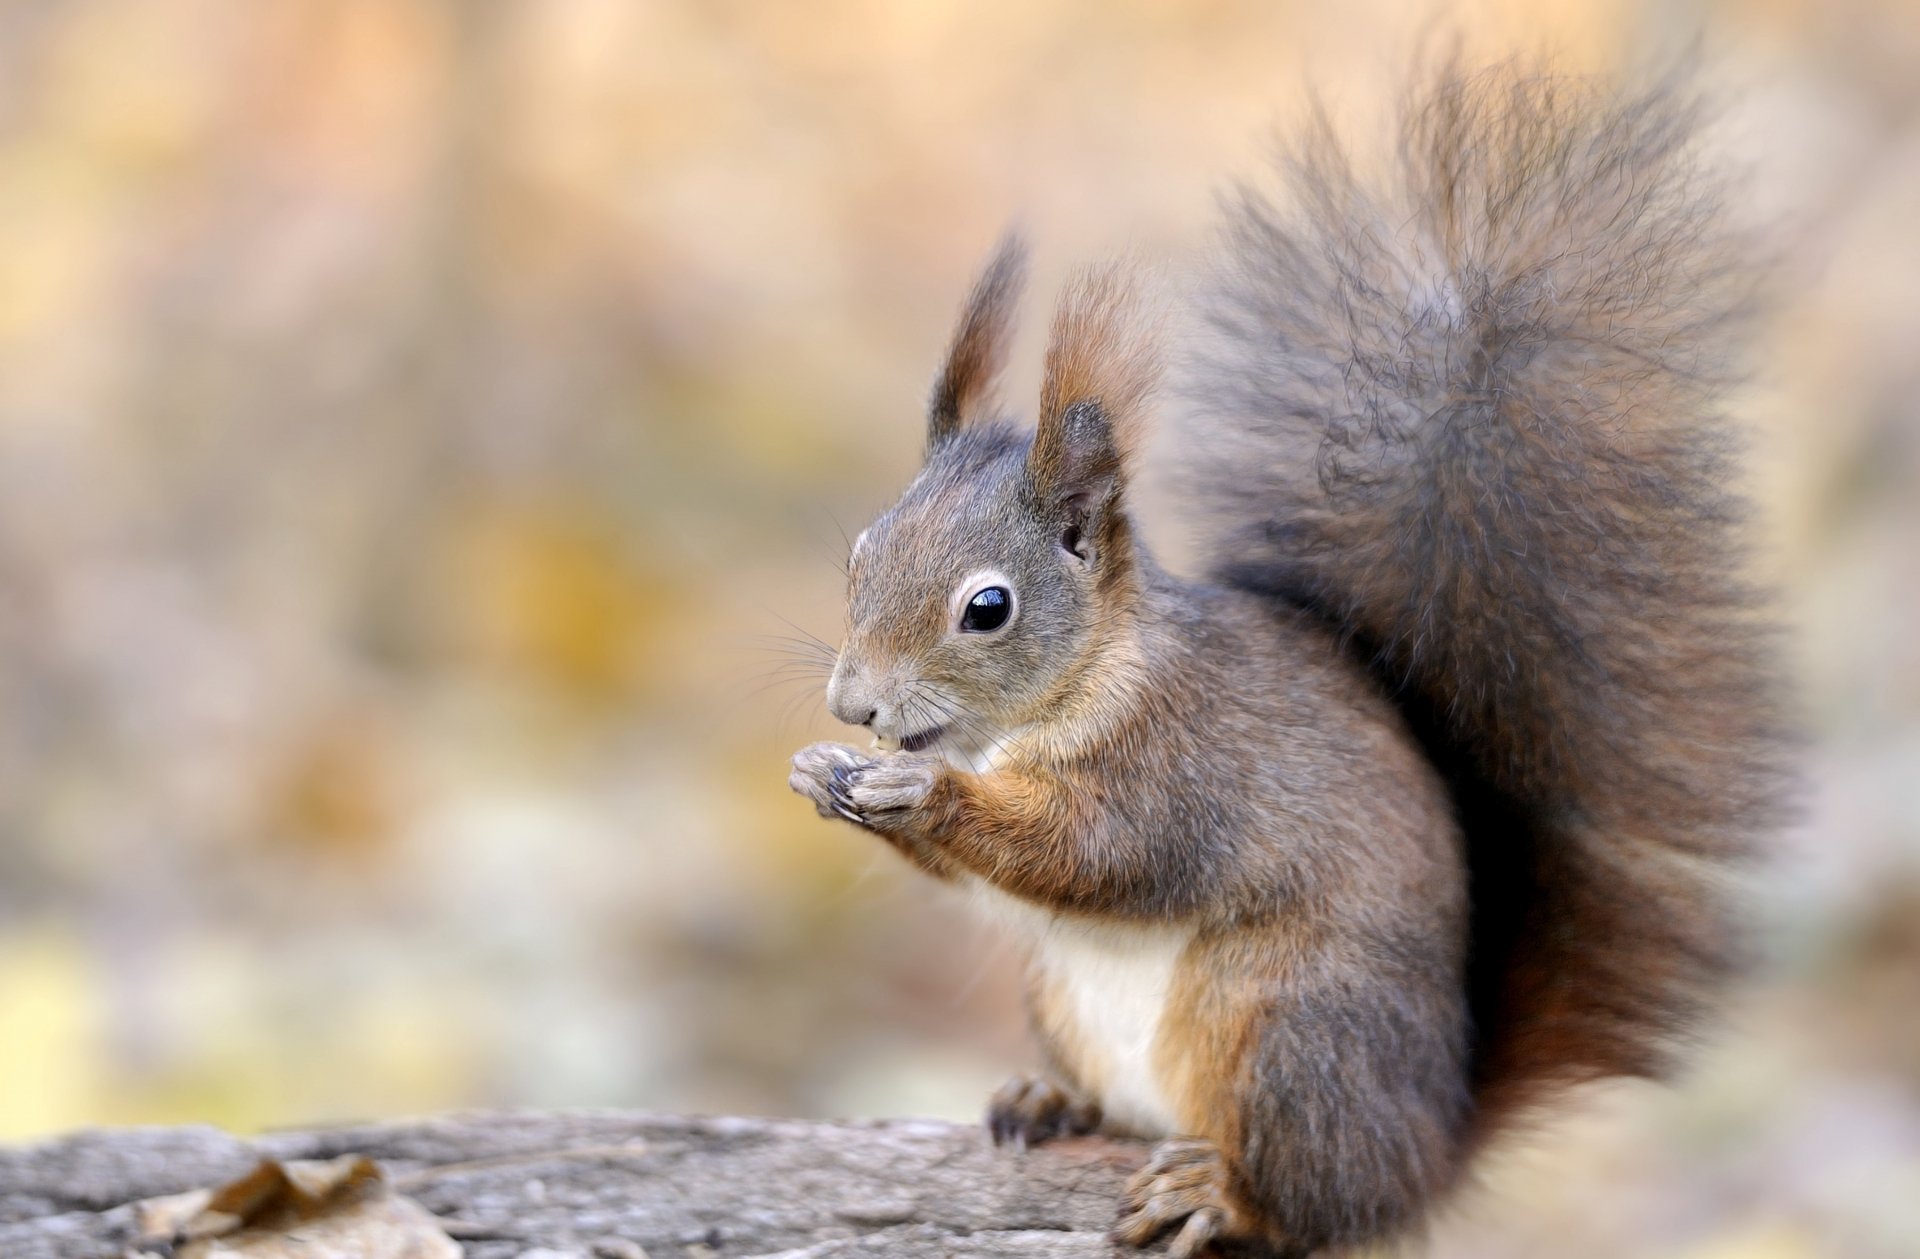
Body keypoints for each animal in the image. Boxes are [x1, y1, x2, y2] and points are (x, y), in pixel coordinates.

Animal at [787, 60, 1786, 1258]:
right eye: (860, 548)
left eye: (988, 607)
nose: (852, 704)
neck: (1058, 701)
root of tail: (1428, 1146)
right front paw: (824, 776)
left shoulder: (1181, 761)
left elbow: (1097, 851)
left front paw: (924, 794)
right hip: (1074, 1001)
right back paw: (1053, 1097)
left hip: (1280, 1023)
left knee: (1305, 1192)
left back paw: (1219, 1191)